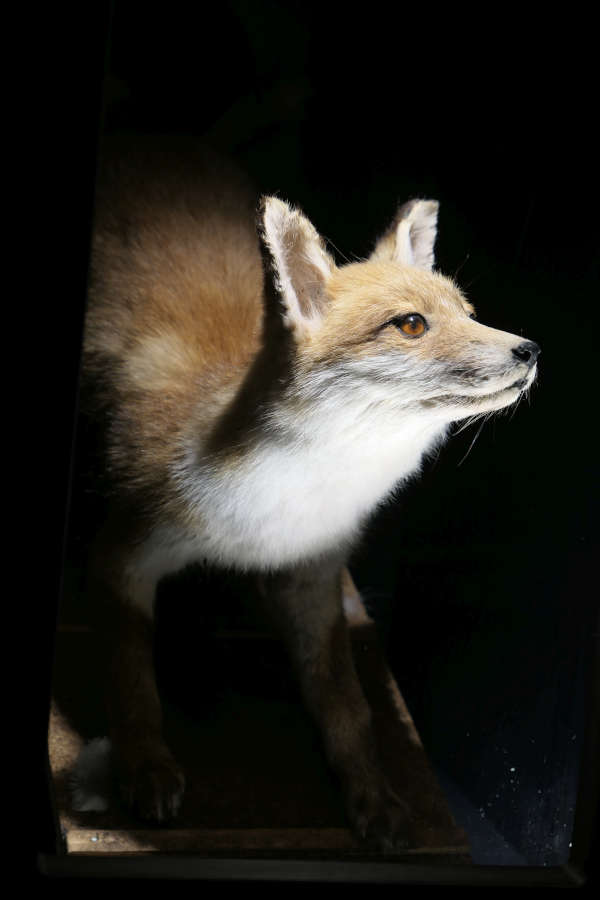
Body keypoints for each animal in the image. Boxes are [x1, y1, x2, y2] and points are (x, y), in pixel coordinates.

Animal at [77, 134, 540, 852]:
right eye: (411, 325)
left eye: (469, 314)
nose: (529, 350)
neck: (275, 511)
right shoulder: (123, 549)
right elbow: (132, 681)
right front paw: (145, 766)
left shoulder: (312, 576)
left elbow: (348, 709)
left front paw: (372, 796)